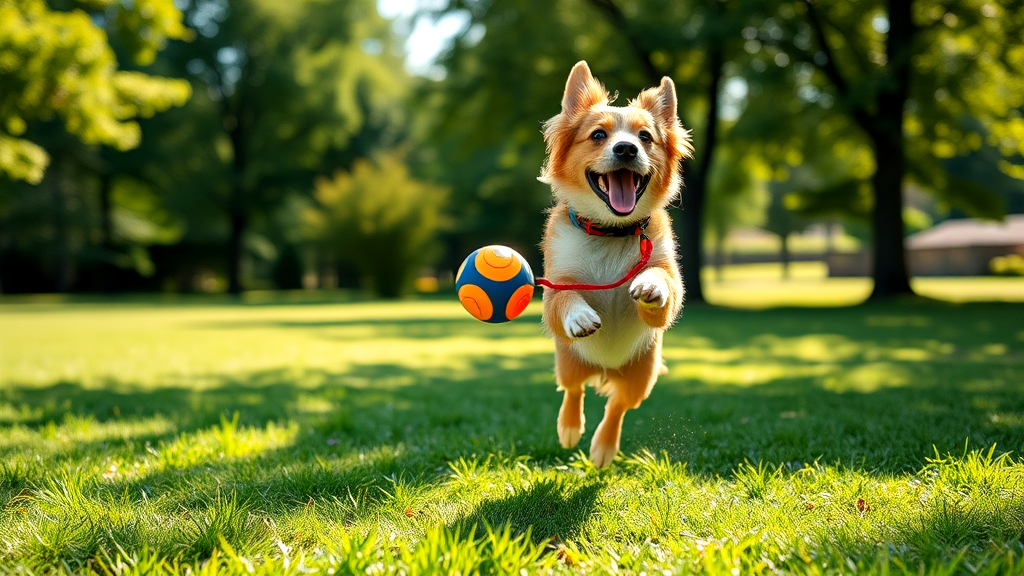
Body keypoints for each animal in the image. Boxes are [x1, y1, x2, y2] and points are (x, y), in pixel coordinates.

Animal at [536, 61, 696, 467]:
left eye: (645, 137)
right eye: (598, 135)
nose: (626, 148)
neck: (611, 231)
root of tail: (604, 368)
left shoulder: (667, 275)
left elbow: (665, 283)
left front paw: (650, 285)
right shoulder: (556, 285)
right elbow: (564, 299)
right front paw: (579, 315)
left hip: (641, 376)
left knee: (619, 406)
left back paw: (603, 447)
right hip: (569, 360)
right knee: (573, 390)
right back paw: (570, 427)